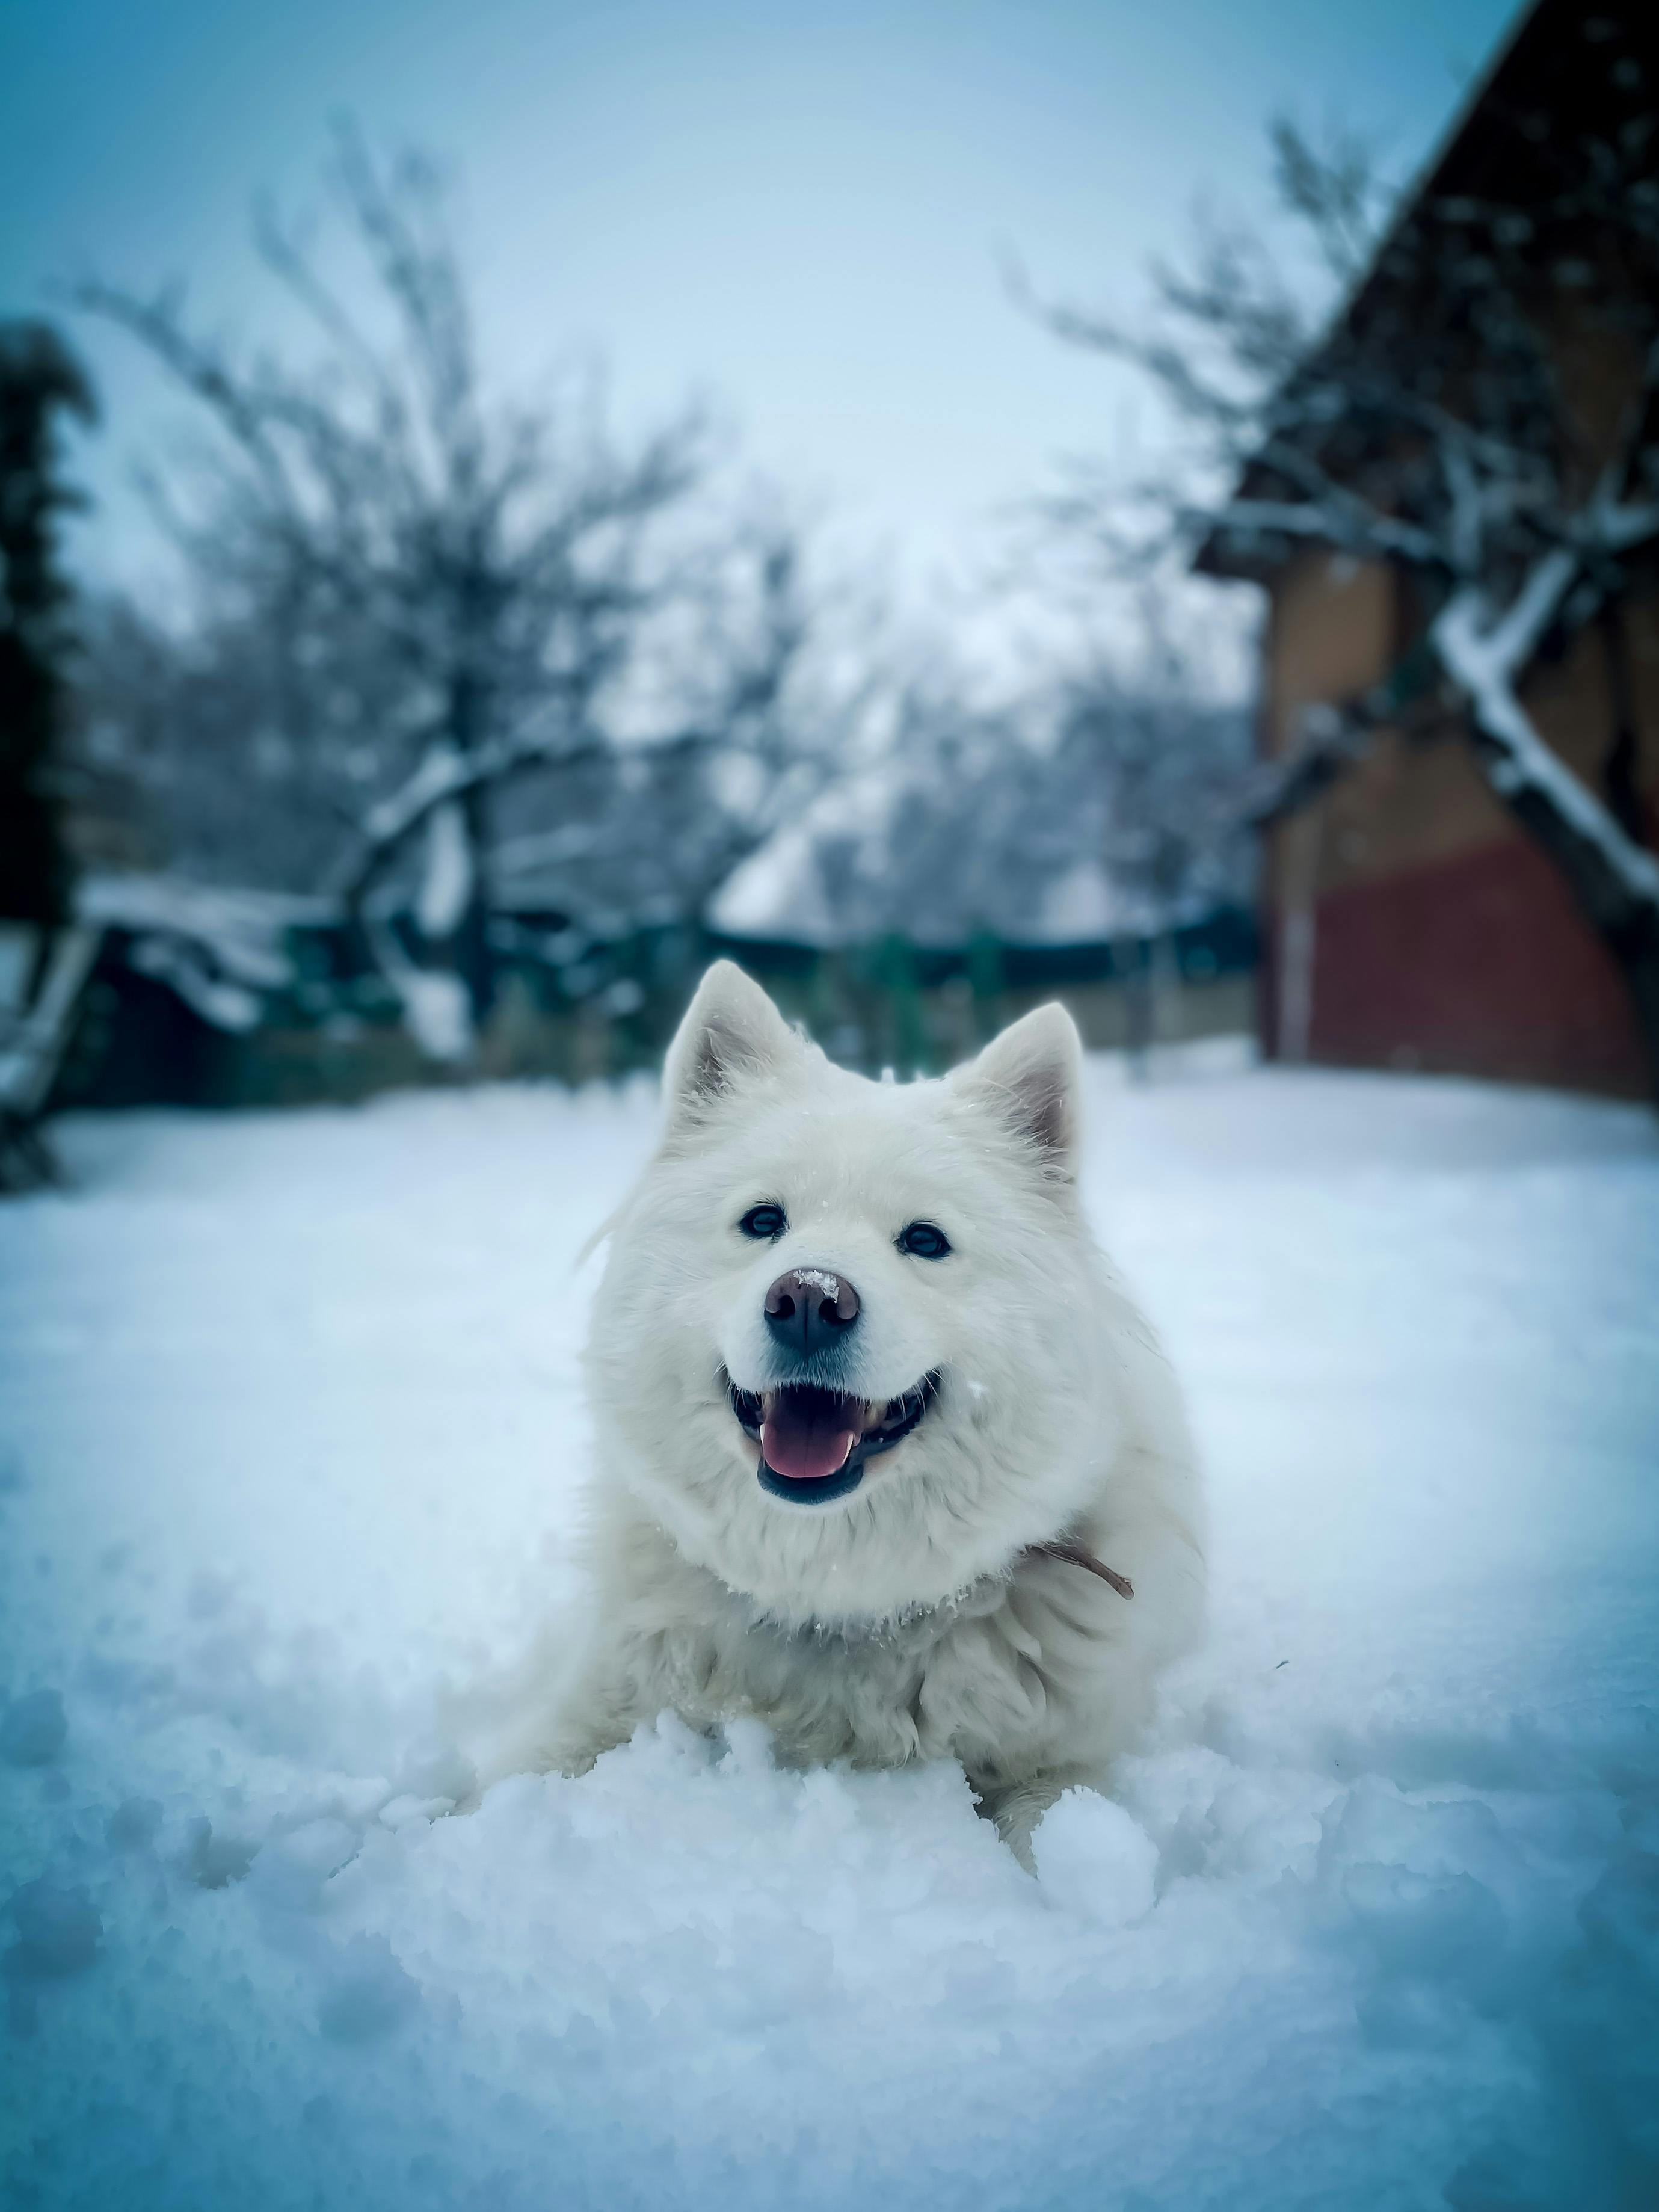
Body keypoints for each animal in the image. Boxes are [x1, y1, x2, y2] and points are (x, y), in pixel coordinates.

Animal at [479, 960, 1212, 1858]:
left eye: (925, 1240)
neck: (840, 1603)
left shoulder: (1060, 1762)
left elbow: (1060, 1840)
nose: (808, 1298)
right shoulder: (594, 1703)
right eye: (763, 1220)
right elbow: (490, 1788)